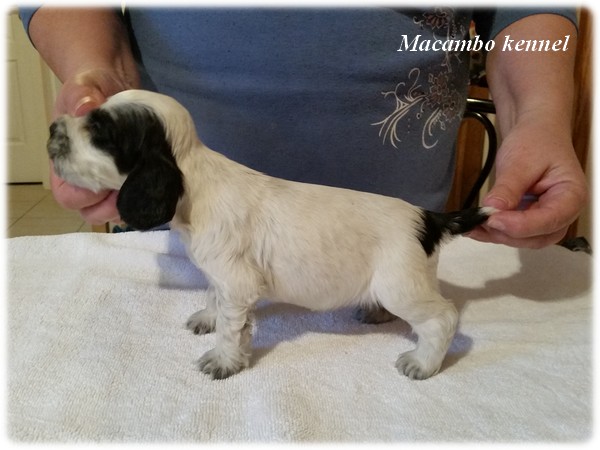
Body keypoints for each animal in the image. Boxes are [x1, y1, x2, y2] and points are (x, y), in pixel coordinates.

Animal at [47, 89, 495, 380]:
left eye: (100, 132)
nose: (53, 127)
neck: (193, 178)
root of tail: (430, 218)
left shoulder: (237, 281)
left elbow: (232, 328)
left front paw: (222, 360)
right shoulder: (221, 276)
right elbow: (213, 298)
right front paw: (207, 318)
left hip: (401, 284)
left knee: (442, 318)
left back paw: (422, 362)